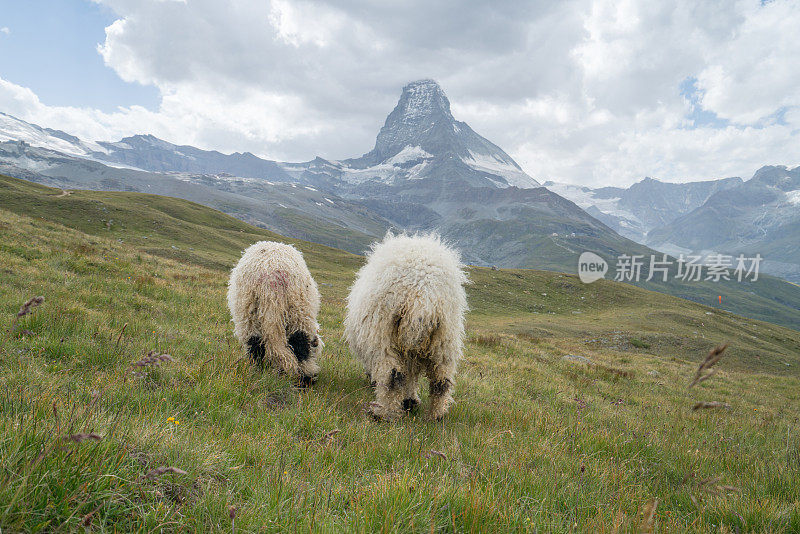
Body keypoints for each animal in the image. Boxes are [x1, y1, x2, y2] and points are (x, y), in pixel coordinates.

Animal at [227, 242, 320, 386]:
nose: (314, 379)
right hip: (298, 311)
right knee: (299, 343)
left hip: (248, 312)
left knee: (255, 344)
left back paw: (259, 370)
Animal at [344, 234, 468, 422]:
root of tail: (423, 292)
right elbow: (410, 376)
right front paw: (410, 401)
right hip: (445, 338)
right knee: (441, 381)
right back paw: (437, 415)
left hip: (383, 335)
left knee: (392, 375)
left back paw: (383, 413)